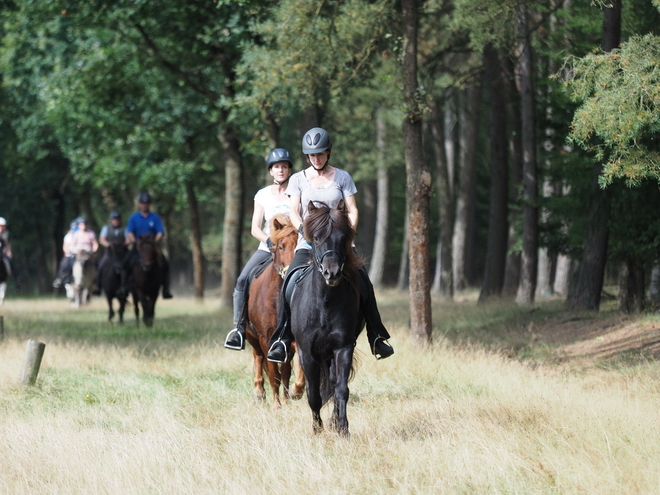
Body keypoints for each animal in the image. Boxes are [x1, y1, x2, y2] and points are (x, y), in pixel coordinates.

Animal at [248, 216, 306, 406]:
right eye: (281, 246)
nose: (291, 273)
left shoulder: (292, 339)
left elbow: (289, 371)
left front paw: (293, 394)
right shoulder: (266, 339)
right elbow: (274, 374)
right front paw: (277, 405)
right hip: (252, 337)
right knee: (258, 357)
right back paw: (259, 392)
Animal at [290, 202, 364, 438]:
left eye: (343, 237)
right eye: (316, 238)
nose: (332, 273)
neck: (325, 303)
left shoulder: (343, 347)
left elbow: (341, 388)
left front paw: (343, 428)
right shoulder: (307, 353)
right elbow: (313, 393)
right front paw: (317, 429)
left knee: (333, 383)